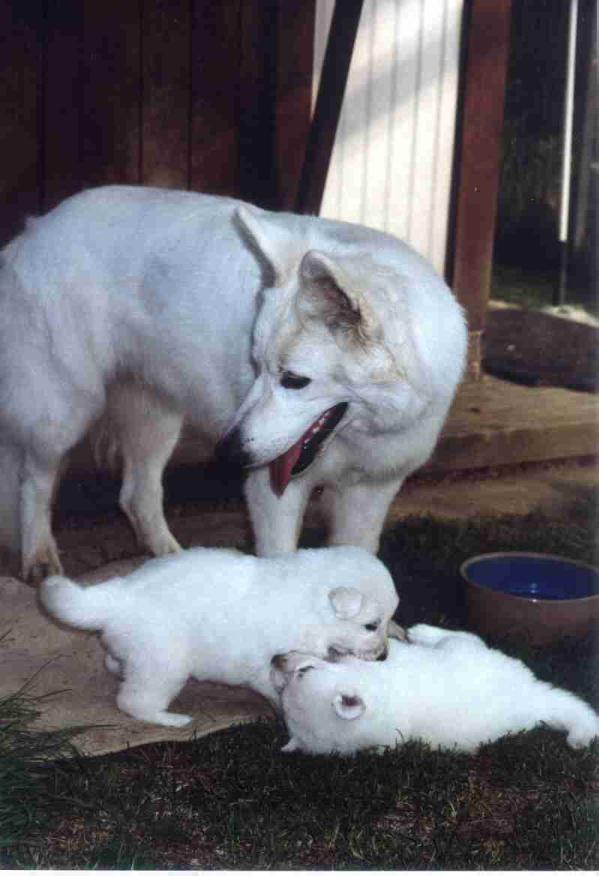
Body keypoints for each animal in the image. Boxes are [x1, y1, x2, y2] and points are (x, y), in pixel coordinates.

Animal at [39, 548, 400, 724]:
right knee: (133, 701)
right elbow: (278, 685)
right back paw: (171, 719)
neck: (312, 606)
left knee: (115, 662)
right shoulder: (267, 664)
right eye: (371, 625)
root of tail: (116, 598)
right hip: (164, 665)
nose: (384, 656)